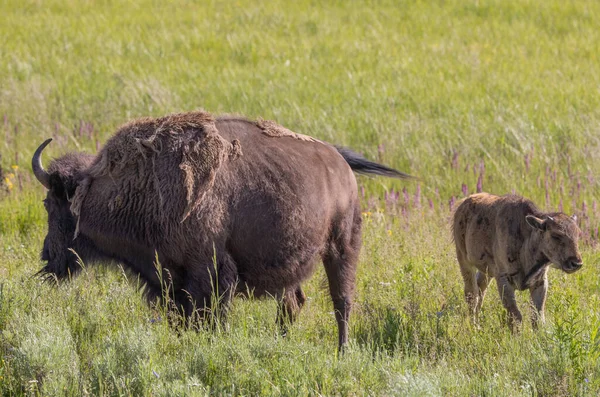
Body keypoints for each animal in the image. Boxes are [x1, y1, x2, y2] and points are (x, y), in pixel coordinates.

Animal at [31, 111, 408, 350]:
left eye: (50, 204)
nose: (46, 257)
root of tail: (339, 161)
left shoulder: (209, 274)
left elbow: (212, 319)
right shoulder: (172, 281)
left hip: (343, 247)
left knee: (342, 301)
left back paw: (342, 353)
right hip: (292, 262)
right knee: (292, 303)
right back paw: (281, 344)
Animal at [452, 192, 584, 328]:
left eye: (577, 235)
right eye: (556, 235)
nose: (576, 263)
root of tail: (463, 205)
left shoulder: (540, 282)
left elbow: (537, 317)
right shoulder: (504, 280)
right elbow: (515, 315)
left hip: (486, 272)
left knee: (481, 288)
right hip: (464, 260)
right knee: (471, 293)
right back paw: (473, 325)